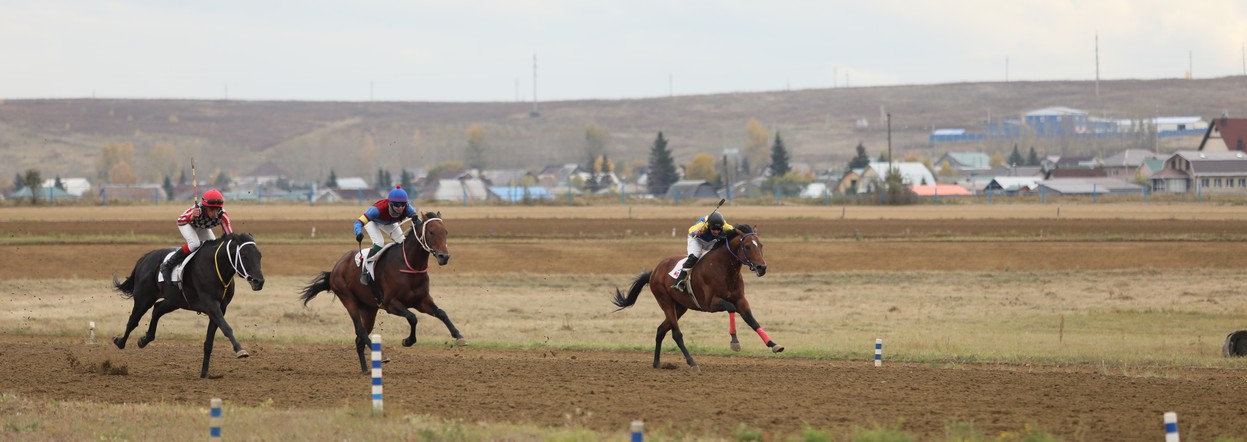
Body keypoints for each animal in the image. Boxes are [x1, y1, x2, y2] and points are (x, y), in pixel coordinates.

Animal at [112, 233, 268, 377]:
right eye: (244, 255)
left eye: (259, 255)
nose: (259, 281)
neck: (215, 266)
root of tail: (145, 258)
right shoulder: (211, 305)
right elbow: (226, 328)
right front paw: (240, 349)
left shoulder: (220, 308)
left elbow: (209, 342)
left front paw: (204, 373)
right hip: (144, 298)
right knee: (133, 321)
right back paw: (120, 342)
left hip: (174, 300)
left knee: (157, 309)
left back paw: (144, 339)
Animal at [299, 211, 466, 372]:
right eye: (431, 232)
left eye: (445, 232)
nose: (444, 256)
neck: (410, 266)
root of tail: (335, 267)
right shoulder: (391, 304)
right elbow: (412, 317)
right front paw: (408, 341)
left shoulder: (422, 301)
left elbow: (441, 313)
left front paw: (459, 336)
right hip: (348, 299)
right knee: (360, 330)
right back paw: (381, 356)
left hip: (369, 309)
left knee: (359, 339)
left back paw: (365, 369)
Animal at [611, 222, 778, 367]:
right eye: (748, 246)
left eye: (761, 245)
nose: (762, 267)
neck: (723, 268)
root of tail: (654, 271)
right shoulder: (711, 304)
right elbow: (731, 308)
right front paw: (735, 342)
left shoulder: (741, 300)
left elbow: (752, 321)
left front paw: (773, 344)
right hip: (665, 301)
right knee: (676, 334)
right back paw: (692, 362)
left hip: (680, 307)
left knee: (660, 330)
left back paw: (657, 362)